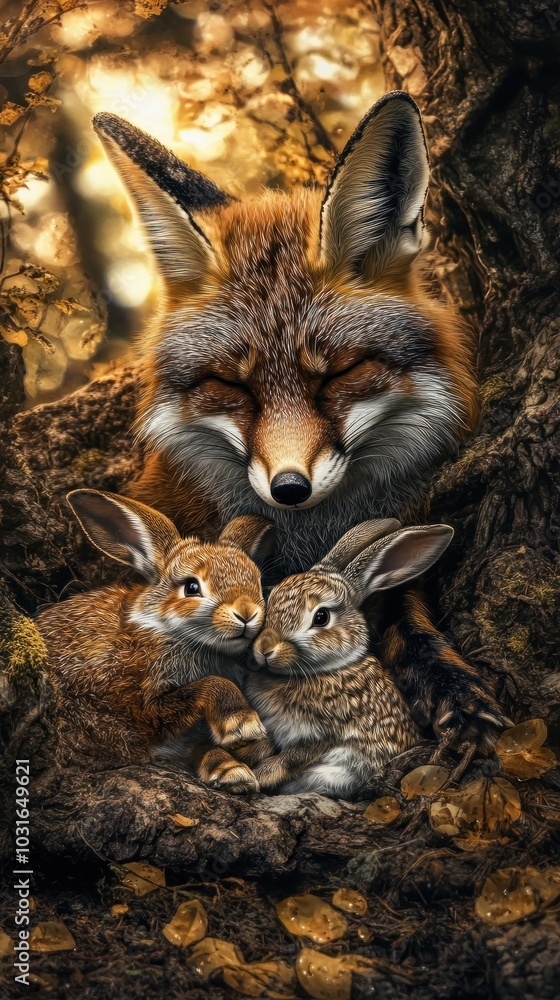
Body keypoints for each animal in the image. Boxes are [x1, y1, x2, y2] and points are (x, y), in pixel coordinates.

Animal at [36, 489, 274, 792]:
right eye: (192, 587)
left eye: (256, 581)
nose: (246, 613)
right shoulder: (142, 705)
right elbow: (210, 684)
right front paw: (242, 726)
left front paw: (233, 771)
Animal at [91, 91, 510, 755]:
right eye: (232, 385)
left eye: (338, 374)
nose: (289, 488)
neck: (301, 538)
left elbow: (410, 620)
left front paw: (452, 688)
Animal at [241, 519, 454, 798]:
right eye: (271, 596)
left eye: (321, 617)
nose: (265, 648)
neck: (328, 670)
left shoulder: (323, 734)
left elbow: (291, 759)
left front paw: (258, 776)